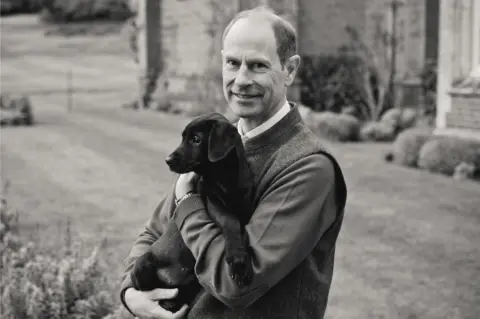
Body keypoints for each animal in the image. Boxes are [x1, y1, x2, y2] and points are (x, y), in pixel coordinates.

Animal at [127, 112, 255, 312]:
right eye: (183, 138)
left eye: (196, 139)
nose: (167, 160)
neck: (224, 177)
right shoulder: (211, 200)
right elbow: (230, 219)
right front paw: (238, 259)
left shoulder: (246, 200)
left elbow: (242, 223)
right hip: (143, 264)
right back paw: (168, 302)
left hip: (193, 280)